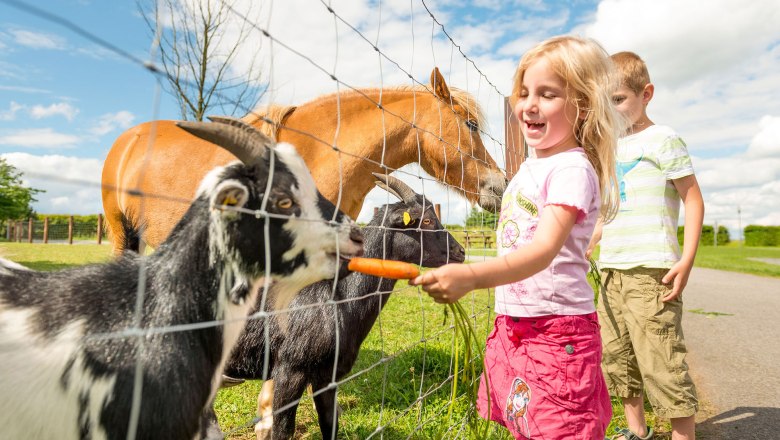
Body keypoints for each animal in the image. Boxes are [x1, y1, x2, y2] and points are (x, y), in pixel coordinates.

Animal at [204, 174, 466, 440]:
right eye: (426, 220)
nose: (461, 252)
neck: (337, 295)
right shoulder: (289, 370)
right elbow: (283, 430)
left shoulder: (327, 378)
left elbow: (331, 423)